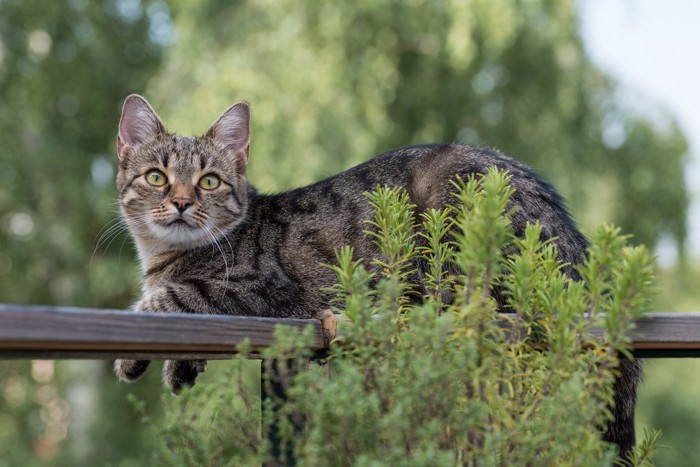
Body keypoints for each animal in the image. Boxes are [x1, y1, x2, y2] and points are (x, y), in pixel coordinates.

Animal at [113, 94, 640, 458]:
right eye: (157, 177)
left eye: (209, 182)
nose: (183, 202)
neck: (164, 255)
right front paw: (181, 367)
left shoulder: (267, 292)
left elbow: (175, 295)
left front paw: (135, 354)